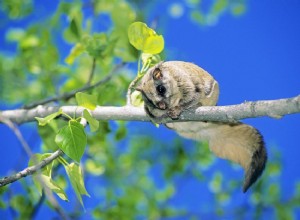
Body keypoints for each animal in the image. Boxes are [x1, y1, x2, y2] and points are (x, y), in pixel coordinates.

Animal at [136, 60, 268, 192]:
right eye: (150, 101)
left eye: (161, 89)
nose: (162, 106)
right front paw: (161, 115)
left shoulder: (183, 80)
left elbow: (194, 95)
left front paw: (177, 109)